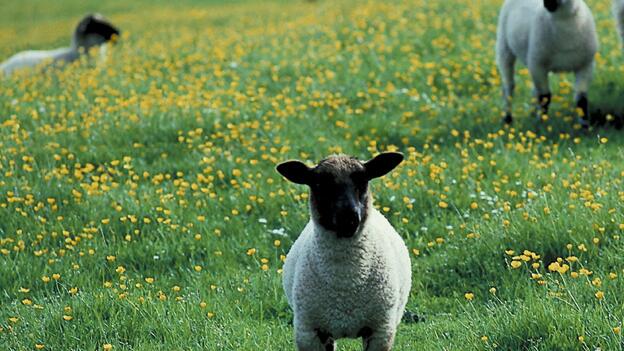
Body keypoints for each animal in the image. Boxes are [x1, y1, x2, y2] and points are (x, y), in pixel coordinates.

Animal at [276, 152, 412, 351]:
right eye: (320, 184)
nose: (349, 218)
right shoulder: (309, 333)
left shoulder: (380, 331)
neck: (344, 283)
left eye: (363, 180)